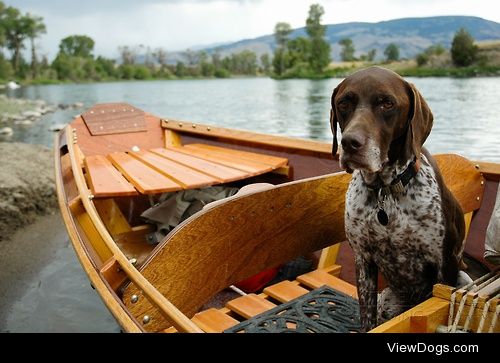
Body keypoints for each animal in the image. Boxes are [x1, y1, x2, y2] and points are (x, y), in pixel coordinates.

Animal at [330, 67, 466, 332]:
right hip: (387, 299)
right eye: (344, 103)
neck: (386, 190)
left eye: (387, 103)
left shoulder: (445, 262)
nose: (349, 143)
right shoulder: (363, 260)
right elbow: (367, 317)